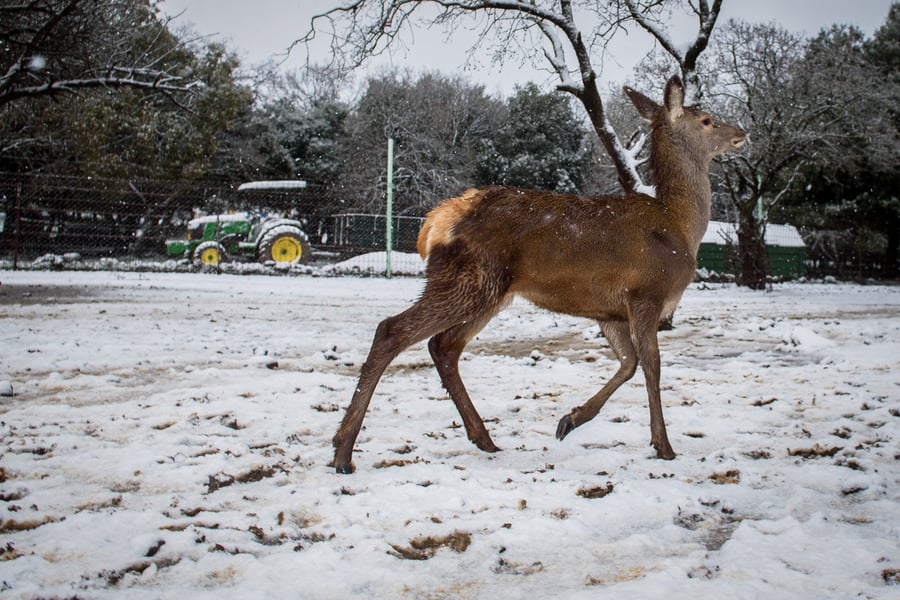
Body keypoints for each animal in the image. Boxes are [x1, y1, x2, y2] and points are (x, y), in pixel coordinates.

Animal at [330, 75, 744, 474]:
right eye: (707, 120)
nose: (741, 131)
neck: (680, 226)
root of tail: (436, 221)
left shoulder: (609, 310)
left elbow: (628, 363)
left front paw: (570, 420)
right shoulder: (646, 292)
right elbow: (652, 366)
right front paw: (664, 446)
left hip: (488, 291)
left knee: (444, 346)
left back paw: (483, 438)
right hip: (468, 278)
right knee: (392, 330)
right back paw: (343, 451)